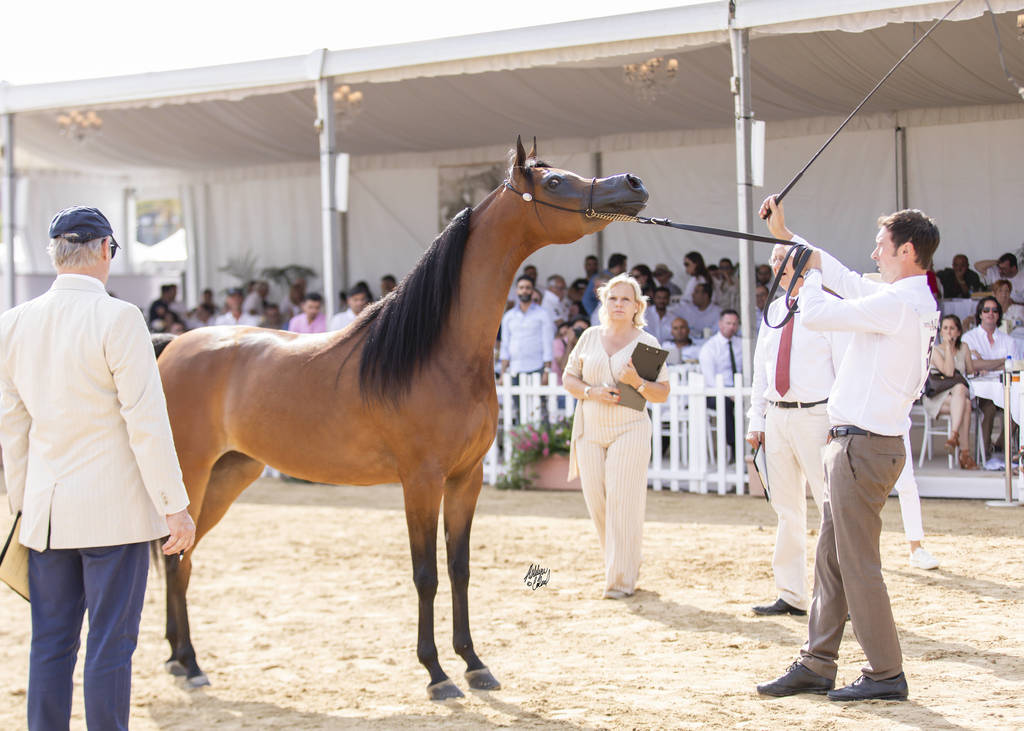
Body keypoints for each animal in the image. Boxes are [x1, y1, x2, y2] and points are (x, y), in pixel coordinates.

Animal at [155, 137, 649, 699]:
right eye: (555, 181)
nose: (632, 184)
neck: (437, 352)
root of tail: (171, 347)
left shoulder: (466, 479)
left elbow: (459, 569)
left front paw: (474, 663)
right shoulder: (421, 480)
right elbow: (425, 574)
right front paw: (436, 673)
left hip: (230, 473)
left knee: (179, 557)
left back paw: (177, 658)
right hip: (194, 474)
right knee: (176, 560)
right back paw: (191, 662)